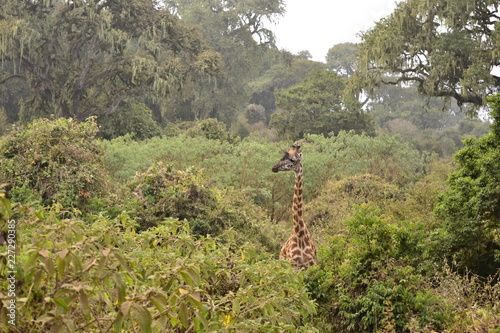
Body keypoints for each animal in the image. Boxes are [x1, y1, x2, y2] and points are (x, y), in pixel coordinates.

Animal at [274, 139, 316, 268]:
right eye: (283, 156)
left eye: (292, 159)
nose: (274, 167)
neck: (299, 234)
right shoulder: (293, 266)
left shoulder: (312, 265)